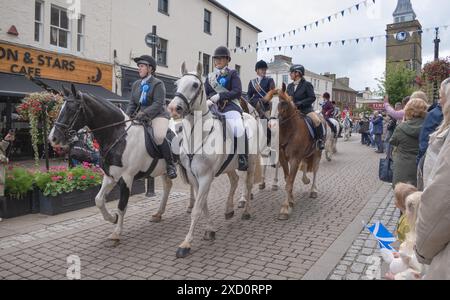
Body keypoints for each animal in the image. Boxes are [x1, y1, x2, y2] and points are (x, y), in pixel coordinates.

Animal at [168, 62, 260, 258]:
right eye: (177, 84)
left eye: (195, 85)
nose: (173, 108)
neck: (198, 136)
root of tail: (251, 116)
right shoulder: (194, 178)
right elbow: (202, 205)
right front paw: (210, 230)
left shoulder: (206, 177)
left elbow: (196, 209)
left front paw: (186, 243)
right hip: (229, 166)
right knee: (234, 180)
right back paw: (229, 209)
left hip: (251, 162)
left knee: (248, 185)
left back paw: (246, 211)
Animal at [268, 84, 324, 220]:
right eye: (270, 103)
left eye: (283, 103)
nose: (272, 125)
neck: (289, 131)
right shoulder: (283, 159)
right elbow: (288, 178)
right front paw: (291, 201)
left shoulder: (294, 159)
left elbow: (289, 182)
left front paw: (285, 208)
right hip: (306, 154)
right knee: (305, 165)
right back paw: (305, 180)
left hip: (317, 154)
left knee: (315, 170)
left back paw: (313, 190)